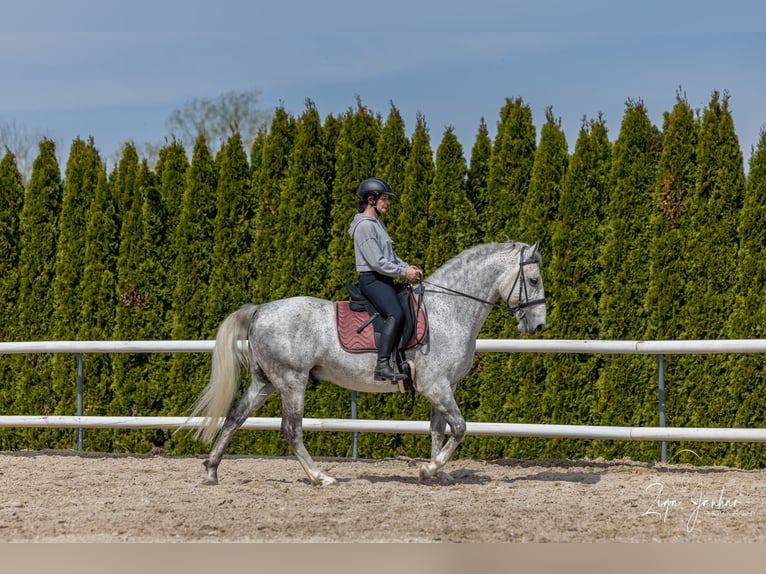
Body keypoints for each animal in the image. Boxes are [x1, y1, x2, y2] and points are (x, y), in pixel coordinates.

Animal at [190, 241, 544, 488]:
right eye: (534, 280)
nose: (539, 326)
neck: (448, 310)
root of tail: (260, 309)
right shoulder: (436, 385)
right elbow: (459, 428)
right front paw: (428, 469)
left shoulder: (445, 385)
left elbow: (438, 430)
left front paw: (439, 474)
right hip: (292, 381)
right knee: (291, 429)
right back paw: (320, 476)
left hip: (265, 381)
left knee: (236, 416)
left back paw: (211, 471)